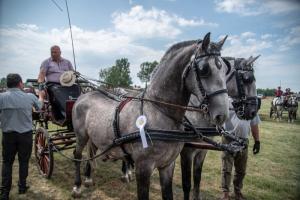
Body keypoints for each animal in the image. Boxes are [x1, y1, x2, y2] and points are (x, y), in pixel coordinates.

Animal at [179, 55, 258, 200]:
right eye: (247, 79)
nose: (253, 112)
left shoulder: (202, 150)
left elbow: (197, 177)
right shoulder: (186, 151)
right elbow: (186, 184)